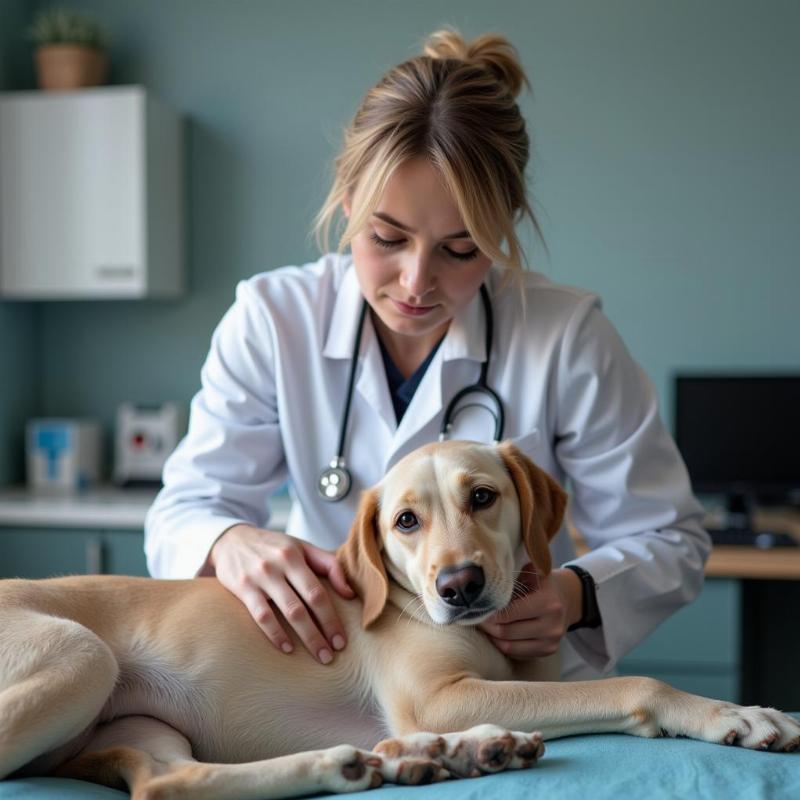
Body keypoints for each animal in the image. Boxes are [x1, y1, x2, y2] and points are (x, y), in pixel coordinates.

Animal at [1, 440, 800, 796]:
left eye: (483, 497)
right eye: (405, 522)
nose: (459, 585)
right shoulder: (437, 696)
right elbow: (634, 685)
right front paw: (738, 714)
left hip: (143, 728)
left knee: (170, 784)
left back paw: (406, 757)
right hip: (83, 656)